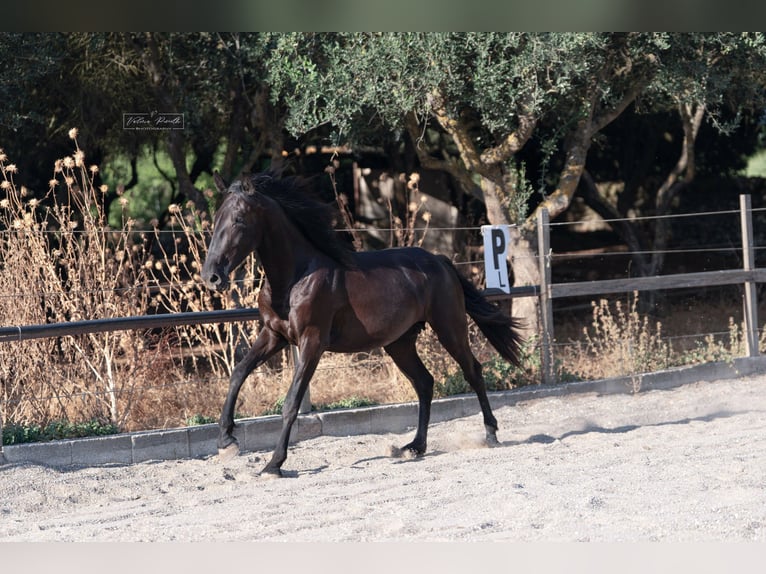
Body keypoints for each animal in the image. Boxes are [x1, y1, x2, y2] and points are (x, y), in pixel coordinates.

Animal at [201, 170, 525, 477]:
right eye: (217, 219)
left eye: (239, 219)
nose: (212, 276)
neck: (296, 278)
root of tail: (441, 261)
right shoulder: (274, 335)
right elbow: (239, 373)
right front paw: (226, 442)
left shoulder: (311, 342)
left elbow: (291, 402)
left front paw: (273, 465)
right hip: (400, 342)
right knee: (424, 382)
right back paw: (414, 447)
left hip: (449, 327)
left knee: (472, 371)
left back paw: (490, 434)